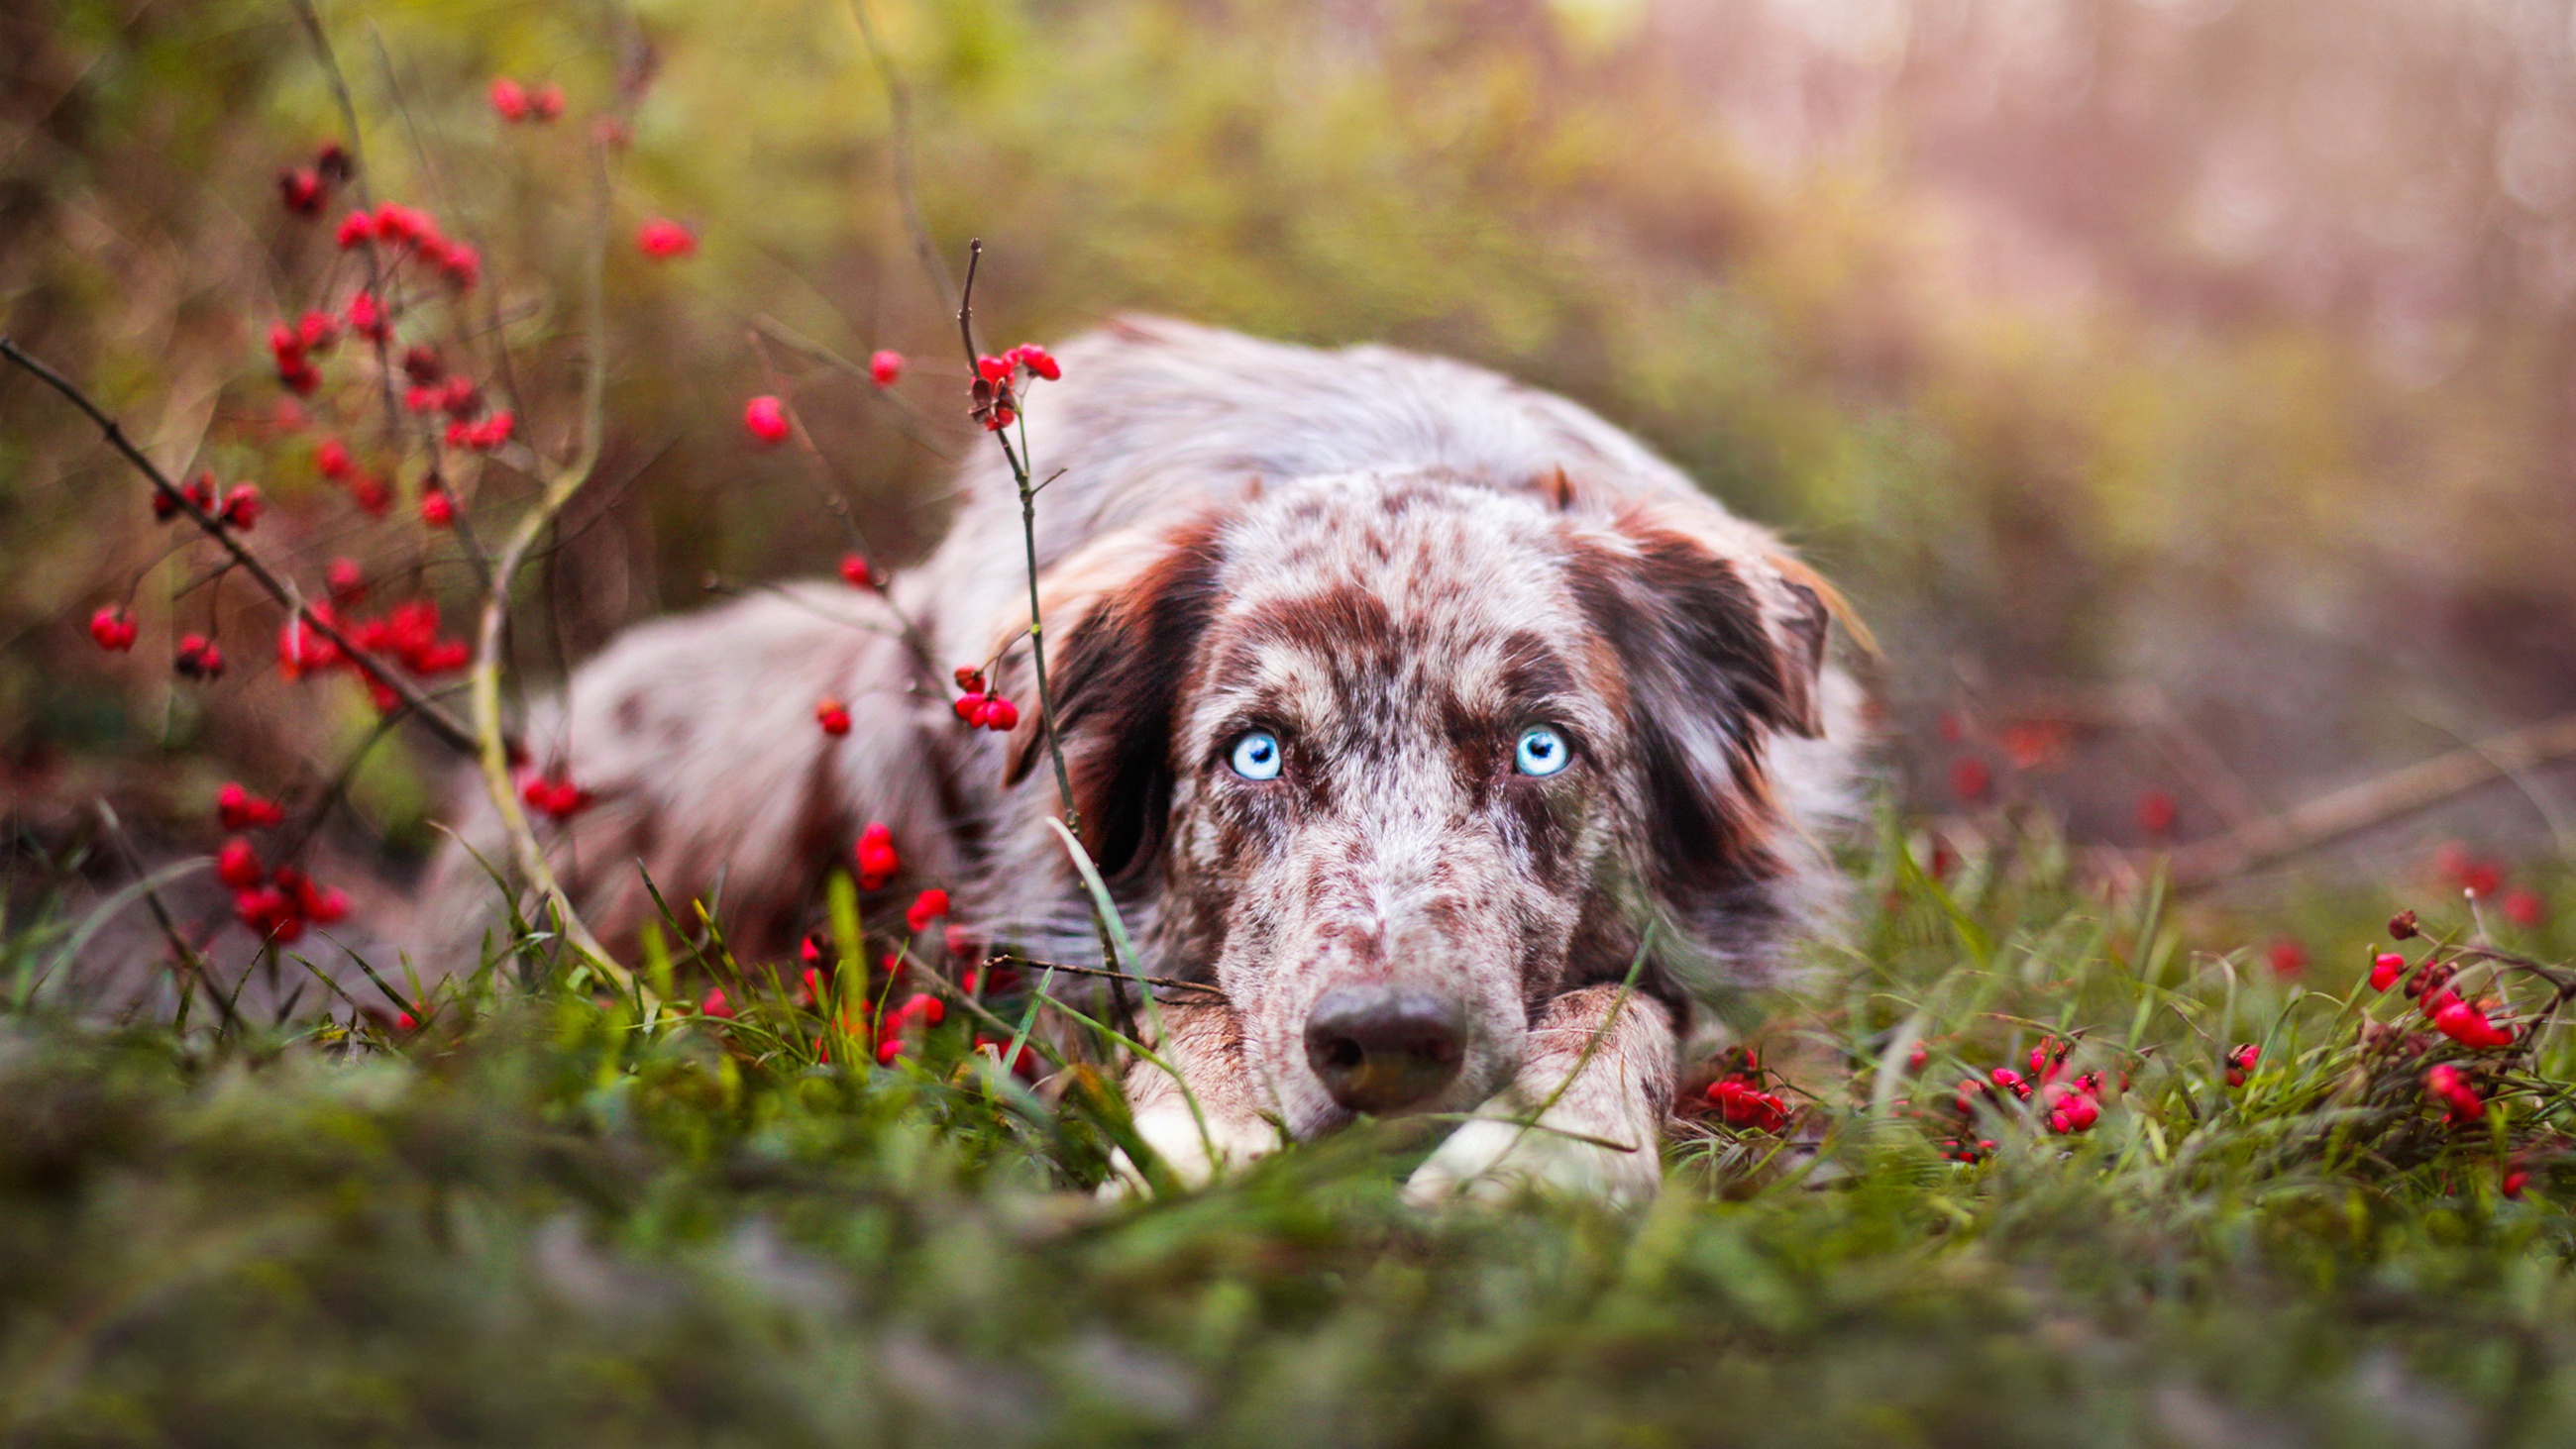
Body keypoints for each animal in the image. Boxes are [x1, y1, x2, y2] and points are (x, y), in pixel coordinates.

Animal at [432, 323, 1865, 1209]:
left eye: (1538, 746)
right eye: (1257, 750)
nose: (1390, 1043)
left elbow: (1619, 1003)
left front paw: (1538, 1157)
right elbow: (1188, 1008)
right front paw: (1200, 1138)